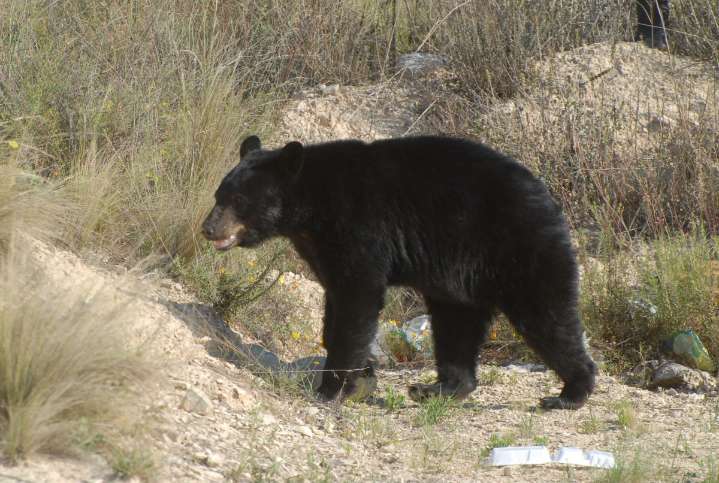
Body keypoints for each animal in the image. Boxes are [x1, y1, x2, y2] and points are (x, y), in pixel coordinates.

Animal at [201, 135, 597, 410]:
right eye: (218, 194)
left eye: (238, 200)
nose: (208, 228)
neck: (311, 207)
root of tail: (549, 198)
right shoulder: (322, 249)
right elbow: (335, 304)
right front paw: (362, 376)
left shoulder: (359, 228)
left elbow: (357, 302)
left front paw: (332, 388)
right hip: (460, 280)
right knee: (457, 326)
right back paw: (437, 388)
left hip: (519, 249)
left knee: (548, 317)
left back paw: (569, 393)